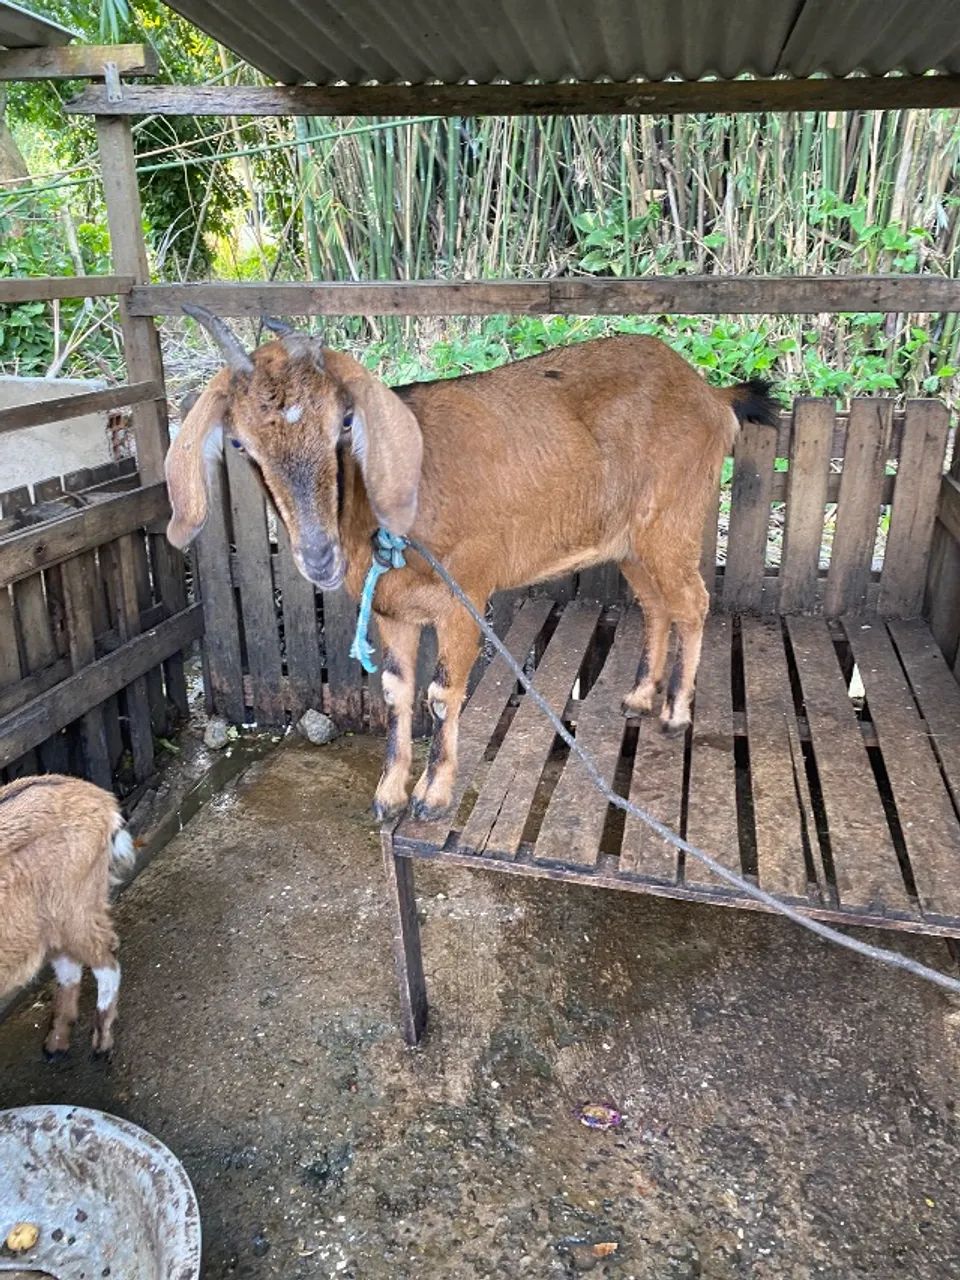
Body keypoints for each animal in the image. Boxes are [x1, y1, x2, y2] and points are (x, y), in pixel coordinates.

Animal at [0, 775, 133, 1057]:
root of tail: (100, 798)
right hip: (50, 922)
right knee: (70, 966)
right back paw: (56, 1043)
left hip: (72, 911)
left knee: (106, 959)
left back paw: (101, 1041)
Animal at [165, 308, 779, 821]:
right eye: (240, 445)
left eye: (344, 421)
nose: (318, 556)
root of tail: (711, 394)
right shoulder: (391, 611)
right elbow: (396, 691)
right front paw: (388, 795)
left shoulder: (464, 596)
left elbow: (441, 694)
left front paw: (432, 798)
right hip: (629, 543)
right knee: (656, 604)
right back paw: (640, 696)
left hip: (672, 522)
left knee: (693, 602)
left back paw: (675, 714)